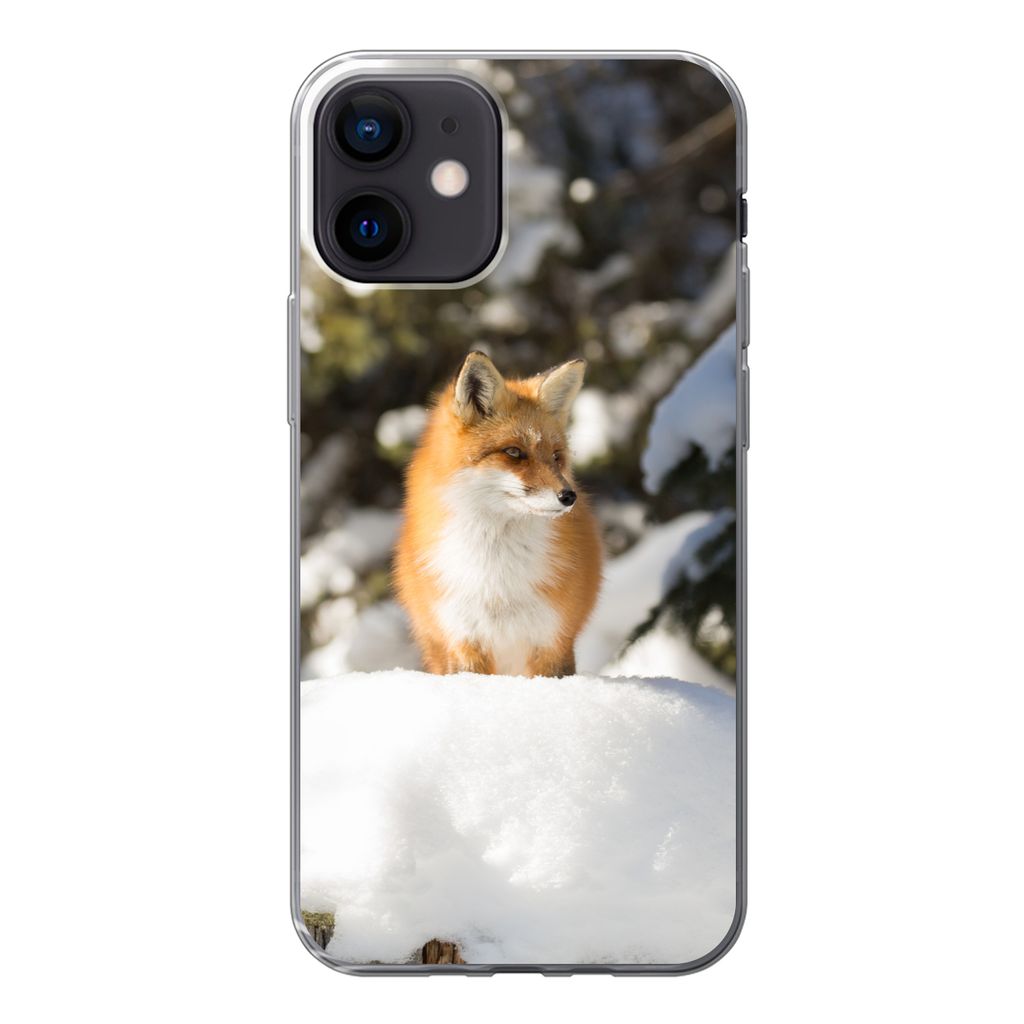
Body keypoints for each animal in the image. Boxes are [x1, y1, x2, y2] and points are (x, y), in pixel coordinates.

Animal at [394, 351, 603, 678]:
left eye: (556, 456)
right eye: (514, 452)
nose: (569, 497)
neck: (496, 580)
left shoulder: (552, 640)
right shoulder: (464, 639)